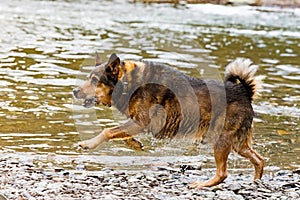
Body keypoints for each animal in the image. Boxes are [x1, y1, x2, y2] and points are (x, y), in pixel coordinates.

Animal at [73, 52, 264, 188]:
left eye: (95, 80)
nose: (74, 91)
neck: (128, 82)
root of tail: (244, 91)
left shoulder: (142, 121)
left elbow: (108, 131)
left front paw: (89, 143)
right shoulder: (137, 123)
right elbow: (120, 133)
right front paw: (135, 144)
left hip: (222, 140)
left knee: (223, 173)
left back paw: (201, 184)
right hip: (238, 143)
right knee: (259, 159)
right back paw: (256, 181)